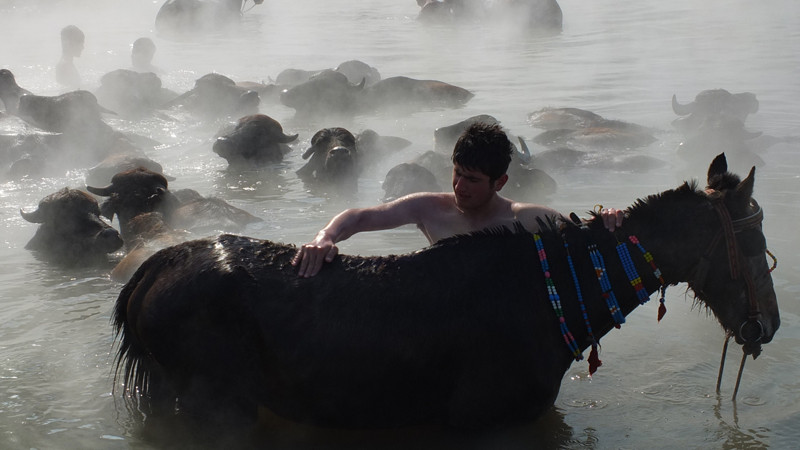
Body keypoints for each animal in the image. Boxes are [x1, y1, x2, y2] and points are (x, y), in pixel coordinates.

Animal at [114, 154, 780, 428]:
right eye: (752, 240)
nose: (767, 324)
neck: (550, 296)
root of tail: (157, 266)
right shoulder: (490, 420)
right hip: (213, 402)